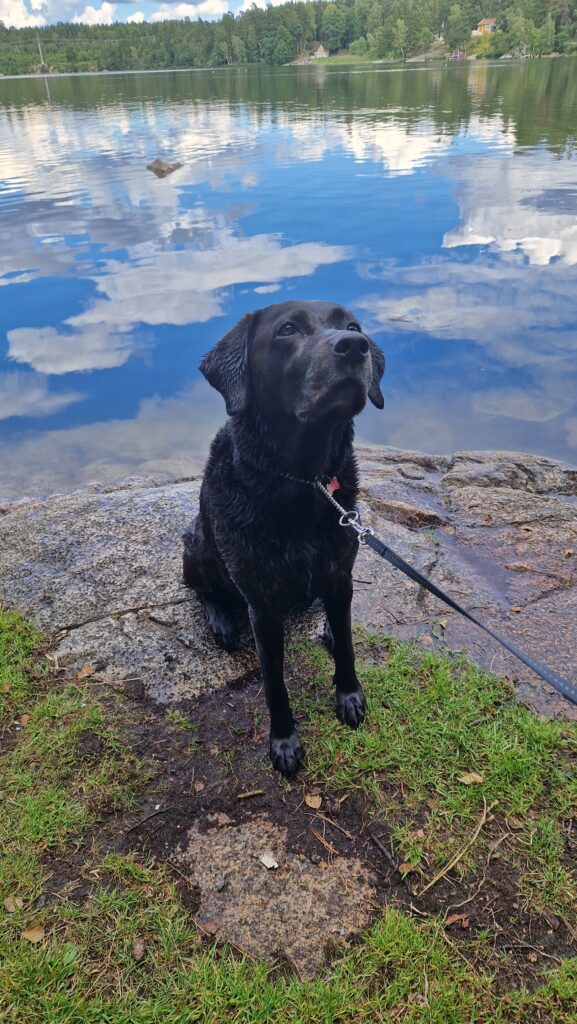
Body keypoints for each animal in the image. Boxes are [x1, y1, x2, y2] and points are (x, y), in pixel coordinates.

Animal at [182, 301, 385, 774]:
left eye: (353, 325)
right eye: (287, 330)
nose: (355, 346)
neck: (302, 482)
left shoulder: (339, 575)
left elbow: (348, 648)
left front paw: (349, 695)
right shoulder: (262, 606)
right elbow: (274, 683)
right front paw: (284, 740)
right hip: (196, 545)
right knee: (201, 589)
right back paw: (221, 620)